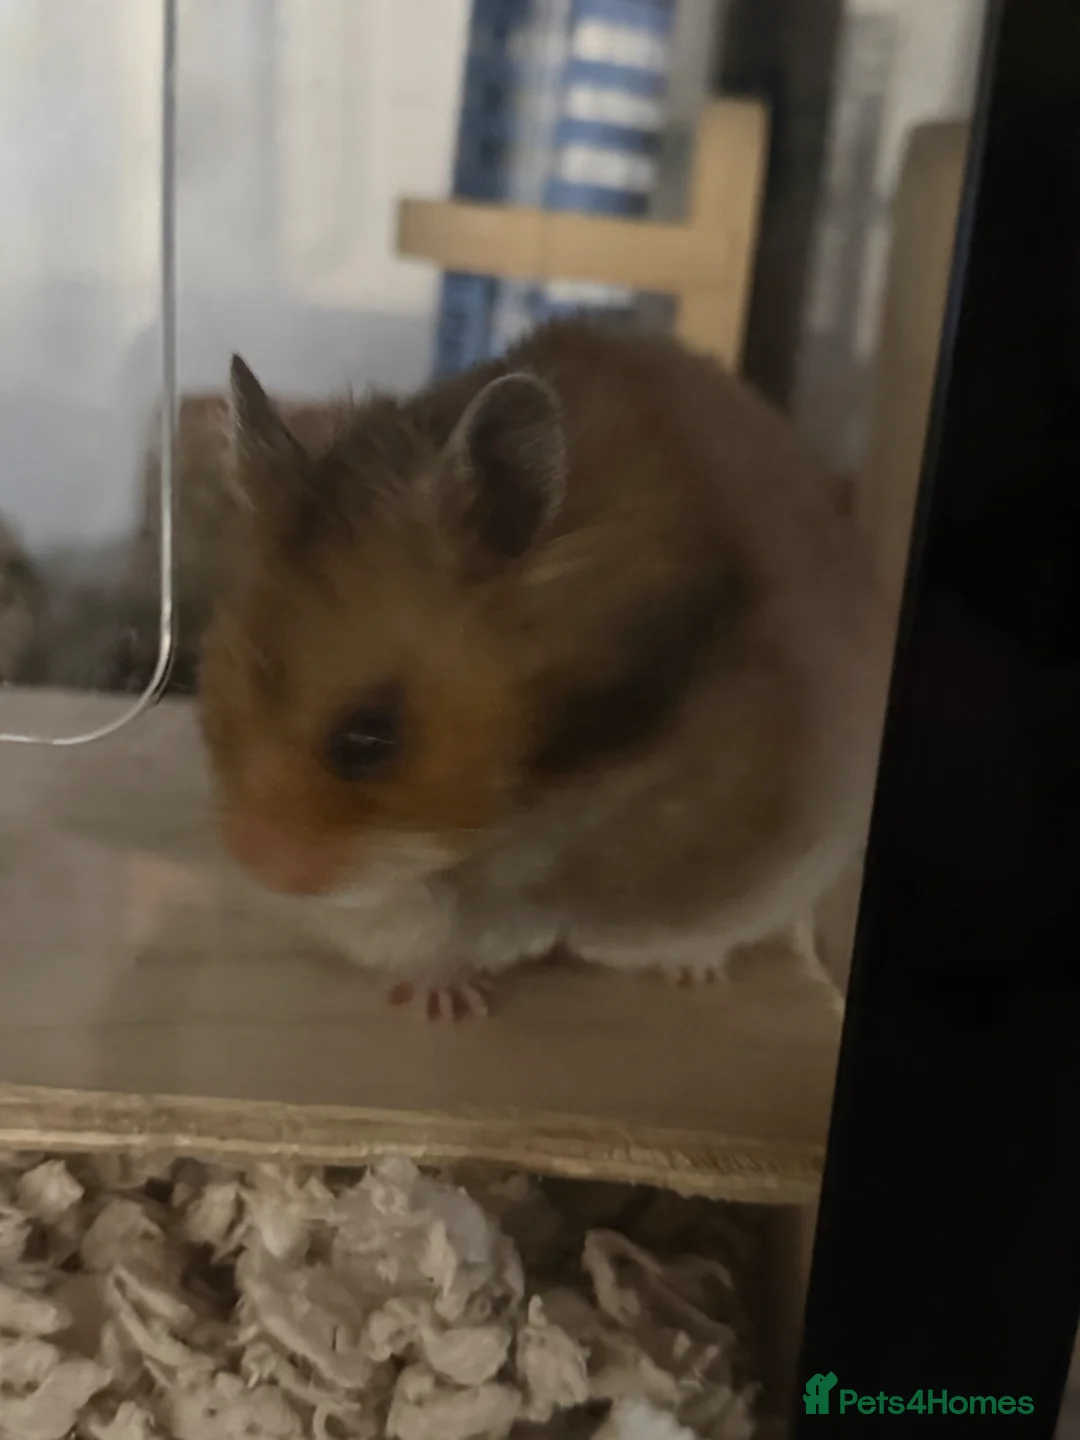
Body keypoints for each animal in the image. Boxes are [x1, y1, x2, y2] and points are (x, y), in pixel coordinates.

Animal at [199, 320, 890, 1018]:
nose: (258, 867)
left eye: (368, 739)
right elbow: (423, 936)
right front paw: (443, 1003)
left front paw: (686, 971)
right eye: (217, 712)